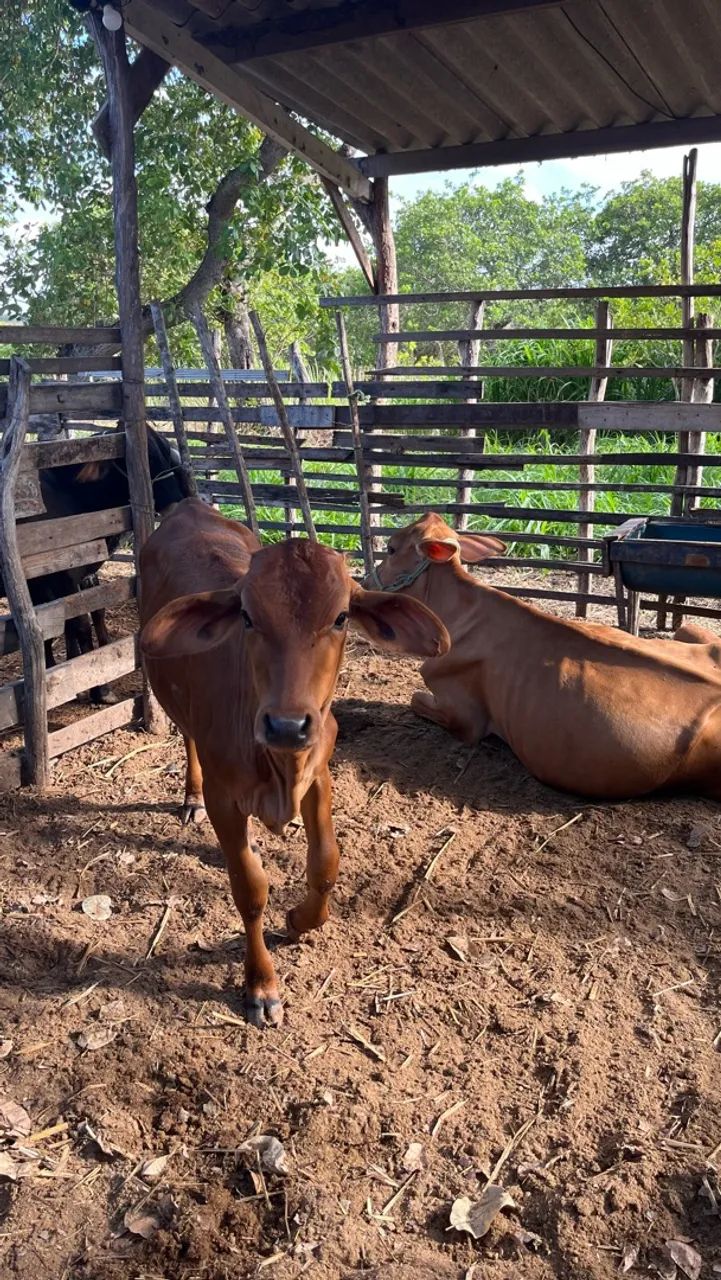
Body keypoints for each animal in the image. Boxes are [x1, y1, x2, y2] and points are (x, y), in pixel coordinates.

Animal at [139, 499, 449, 1026]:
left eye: (342, 617)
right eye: (246, 616)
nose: (287, 725)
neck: (280, 765)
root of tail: (190, 505)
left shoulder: (318, 775)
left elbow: (325, 864)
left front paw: (299, 921)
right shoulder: (226, 798)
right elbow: (249, 889)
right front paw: (261, 985)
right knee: (188, 741)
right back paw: (191, 799)